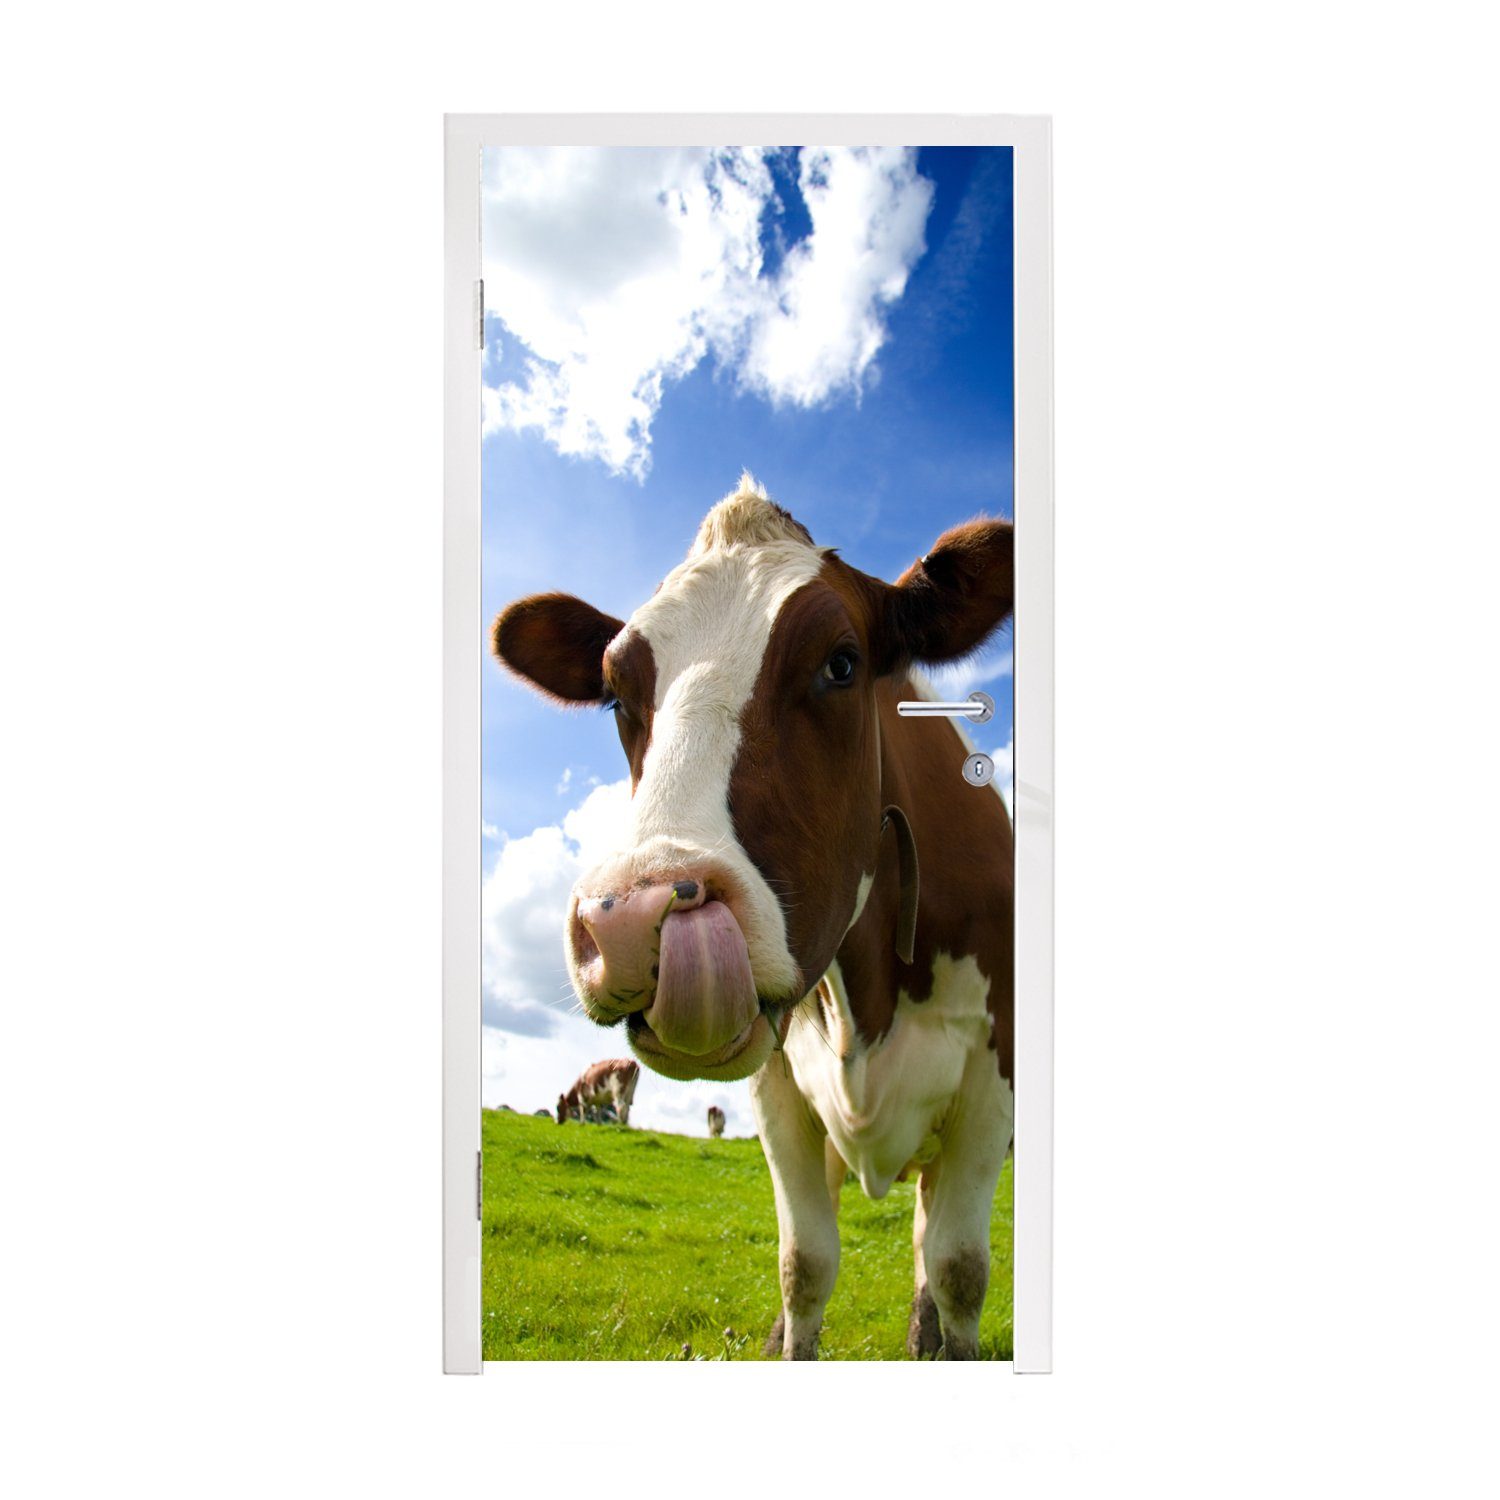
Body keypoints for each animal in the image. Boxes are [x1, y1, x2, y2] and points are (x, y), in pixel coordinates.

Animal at [494, 475, 1012, 1360]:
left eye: (841, 663)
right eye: (616, 695)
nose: (631, 921)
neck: (869, 1001)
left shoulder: (992, 1075)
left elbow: (959, 1269)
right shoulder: (778, 1087)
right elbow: (805, 1265)